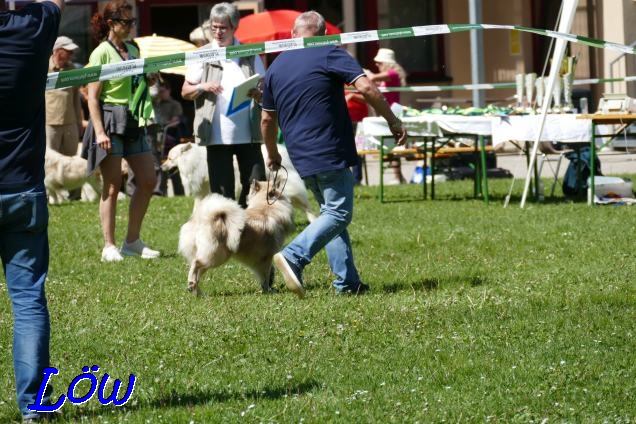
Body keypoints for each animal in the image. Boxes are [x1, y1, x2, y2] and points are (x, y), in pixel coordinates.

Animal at [161, 143, 316, 222]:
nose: (161, 167)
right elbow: (197, 208)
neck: (194, 161)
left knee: (306, 205)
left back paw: (312, 219)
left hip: (289, 187)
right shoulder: (203, 192)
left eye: (169, 158)